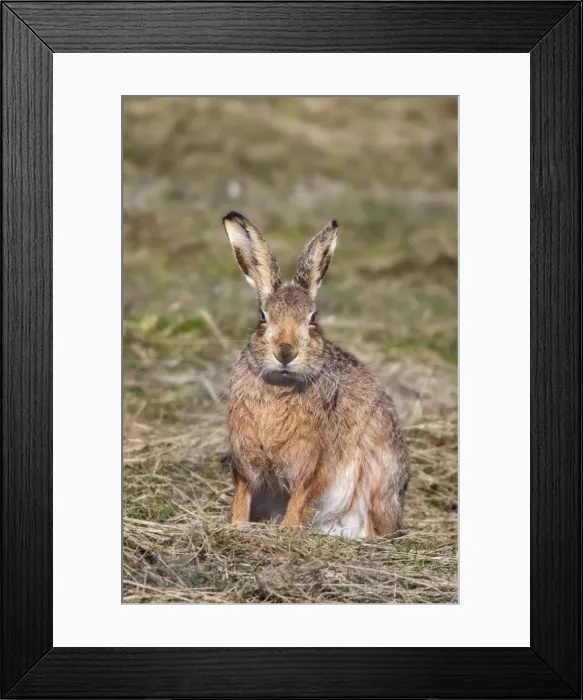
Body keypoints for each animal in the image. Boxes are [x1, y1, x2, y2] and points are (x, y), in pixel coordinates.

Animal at [222, 211, 409, 538]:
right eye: (262, 317)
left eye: (312, 319)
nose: (285, 352)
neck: (281, 385)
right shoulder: (244, 459)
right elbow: (242, 494)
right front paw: (238, 525)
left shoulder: (315, 462)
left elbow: (301, 496)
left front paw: (287, 531)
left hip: (377, 479)